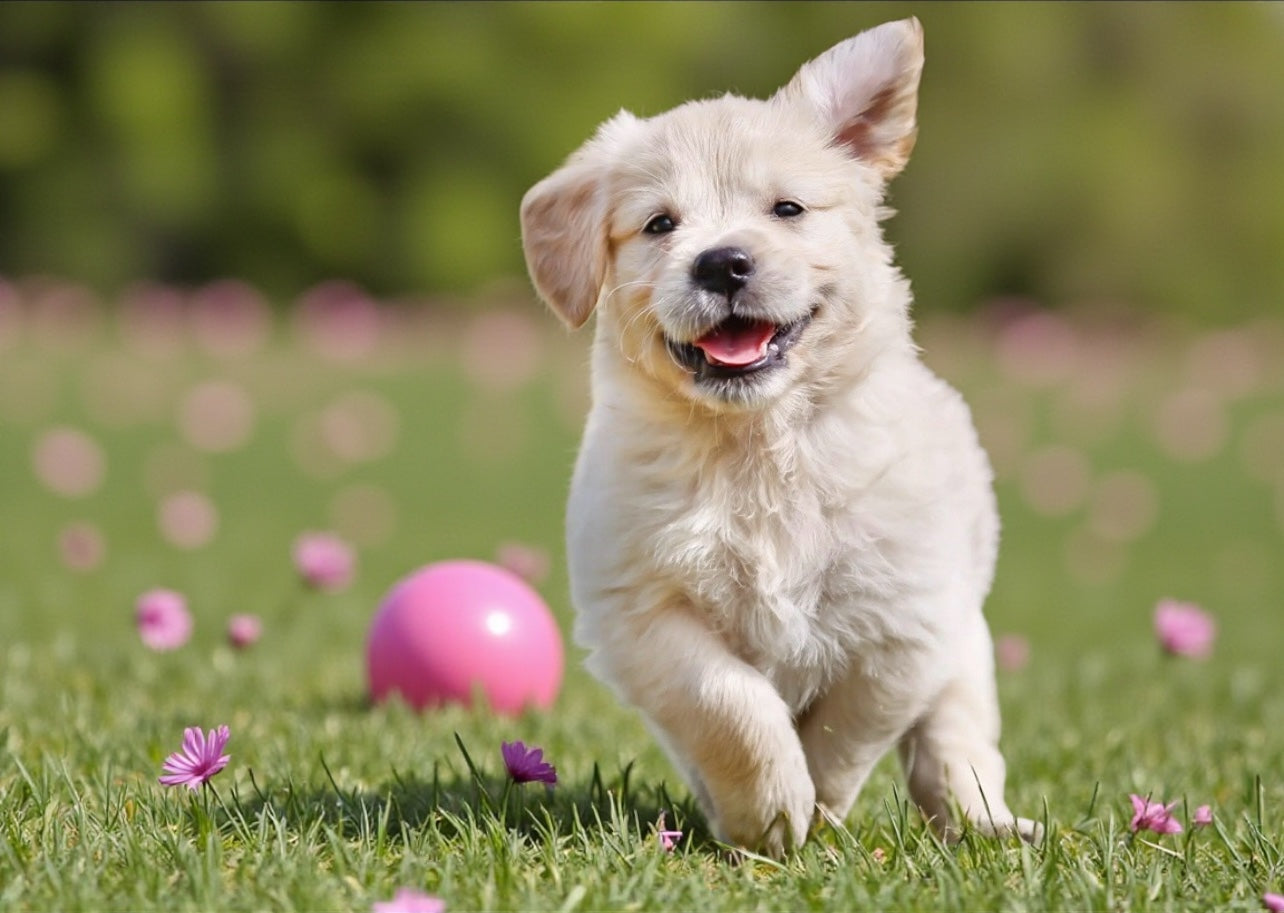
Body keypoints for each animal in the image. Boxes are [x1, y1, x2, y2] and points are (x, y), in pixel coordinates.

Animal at [520, 17, 1039, 857]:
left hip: (966, 645)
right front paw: (768, 812)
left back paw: (986, 824)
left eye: (788, 209)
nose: (723, 262)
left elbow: (843, 731)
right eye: (660, 223)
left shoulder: (904, 625)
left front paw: (816, 808)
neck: (756, 443)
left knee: (955, 747)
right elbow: (729, 705)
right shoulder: (642, 612)